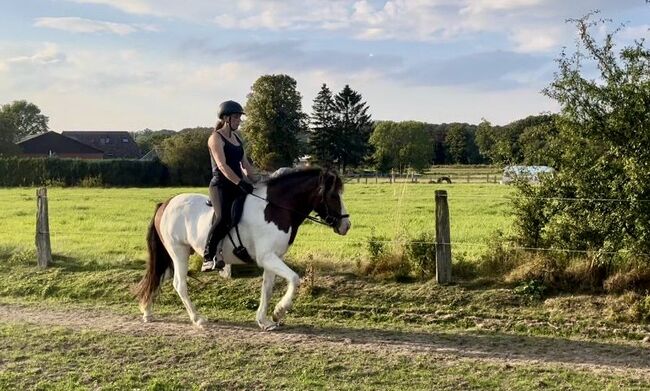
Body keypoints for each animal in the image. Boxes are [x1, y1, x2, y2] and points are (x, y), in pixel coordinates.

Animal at [134, 168, 350, 330]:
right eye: (333, 195)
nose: (346, 225)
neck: (276, 208)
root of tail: (166, 203)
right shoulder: (267, 257)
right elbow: (294, 278)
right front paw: (279, 310)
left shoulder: (273, 257)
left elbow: (267, 288)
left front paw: (264, 320)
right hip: (178, 251)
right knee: (179, 284)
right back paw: (198, 319)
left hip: (174, 254)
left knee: (158, 277)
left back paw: (147, 312)